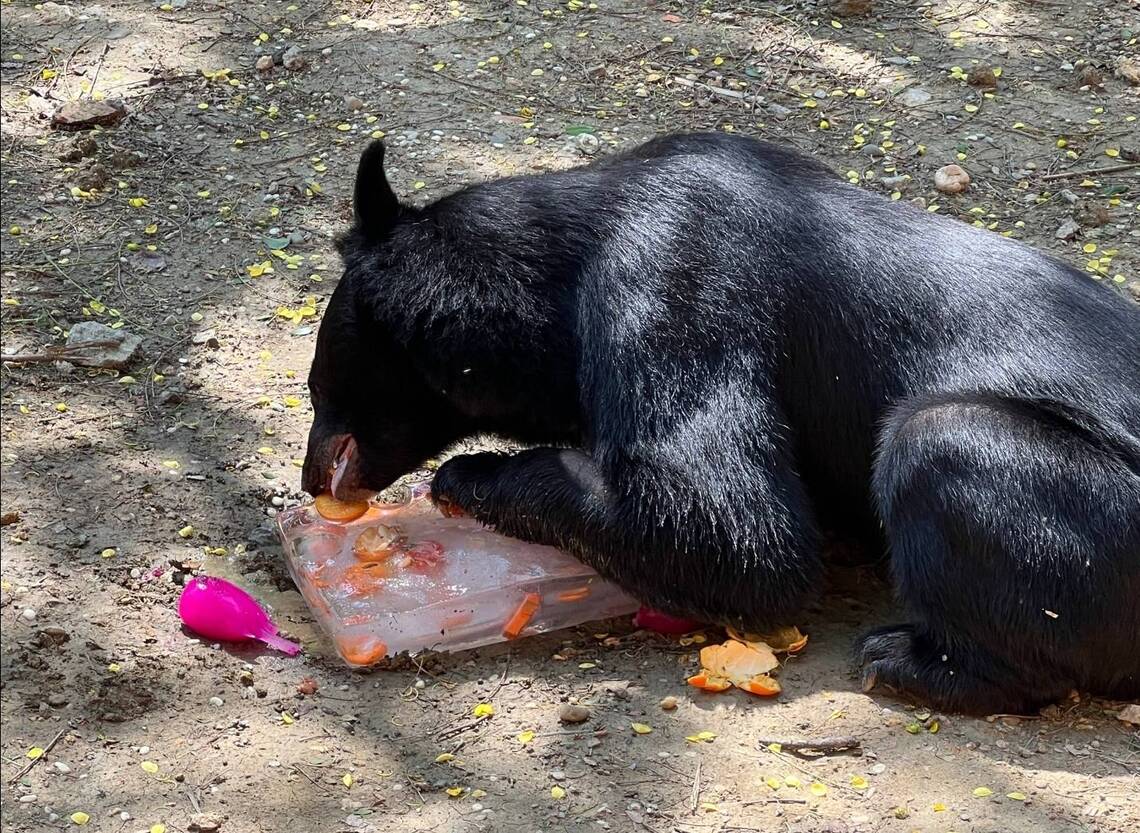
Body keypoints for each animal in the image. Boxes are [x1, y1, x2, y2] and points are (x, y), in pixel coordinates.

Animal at [302, 132, 1140, 715]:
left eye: (321, 386)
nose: (313, 478)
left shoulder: (668, 286)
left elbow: (739, 533)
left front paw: (465, 477)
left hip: (1059, 502)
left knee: (937, 441)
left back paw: (912, 663)